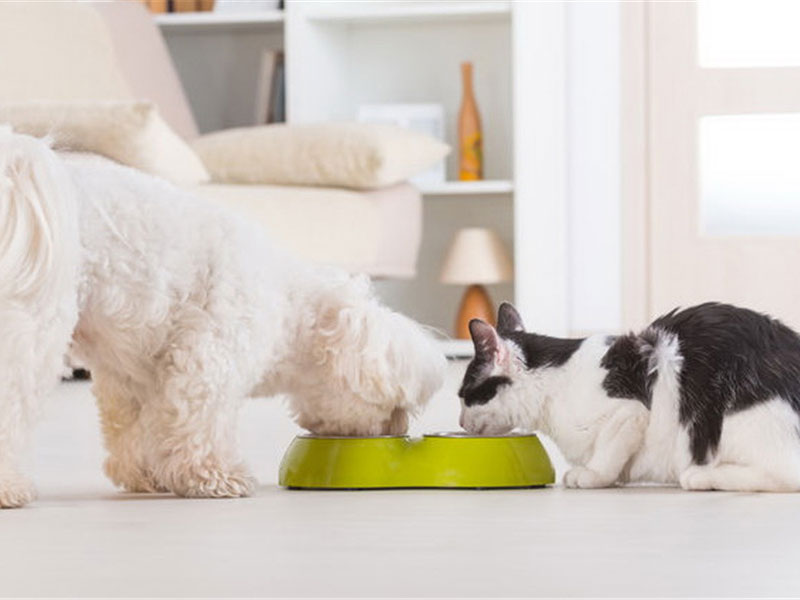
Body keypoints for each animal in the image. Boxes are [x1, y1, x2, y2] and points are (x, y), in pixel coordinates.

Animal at [0, 130, 446, 506]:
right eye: (395, 406)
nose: (395, 429)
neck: (291, 309)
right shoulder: (208, 358)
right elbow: (202, 422)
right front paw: (215, 478)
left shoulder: (132, 373)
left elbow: (135, 427)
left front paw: (147, 474)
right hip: (30, 331)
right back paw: (10, 489)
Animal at [460, 302, 800, 490]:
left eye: (463, 395)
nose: (461, 422)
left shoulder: (630, 413)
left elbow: (607, 453)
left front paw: (593, 475)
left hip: (741, 421)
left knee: (785, 475)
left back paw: (702, 477)